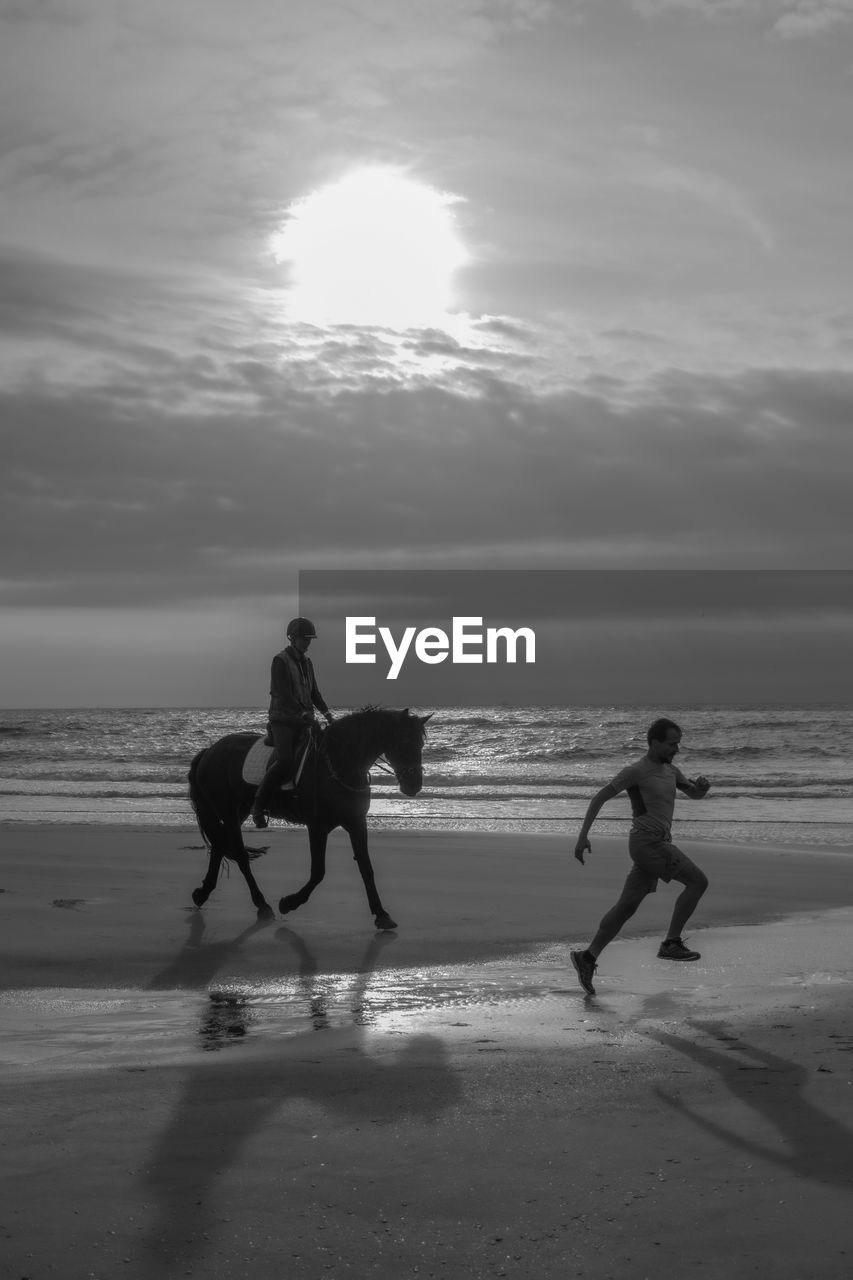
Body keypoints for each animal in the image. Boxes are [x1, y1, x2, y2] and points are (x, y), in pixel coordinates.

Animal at [183, 711, 427, 931]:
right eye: (404, 742)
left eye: (421, 744)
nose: (414, 785)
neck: (339, 762)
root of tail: (209, 751)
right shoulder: (317, 827)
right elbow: (318, 872)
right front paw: (289, 903)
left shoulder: (356, 823)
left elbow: (366, 868)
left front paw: (381, 914)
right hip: (228, 811)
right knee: (240, 855)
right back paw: (262, 905)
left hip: (238, 810)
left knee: (219, 847)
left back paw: (202, 894)